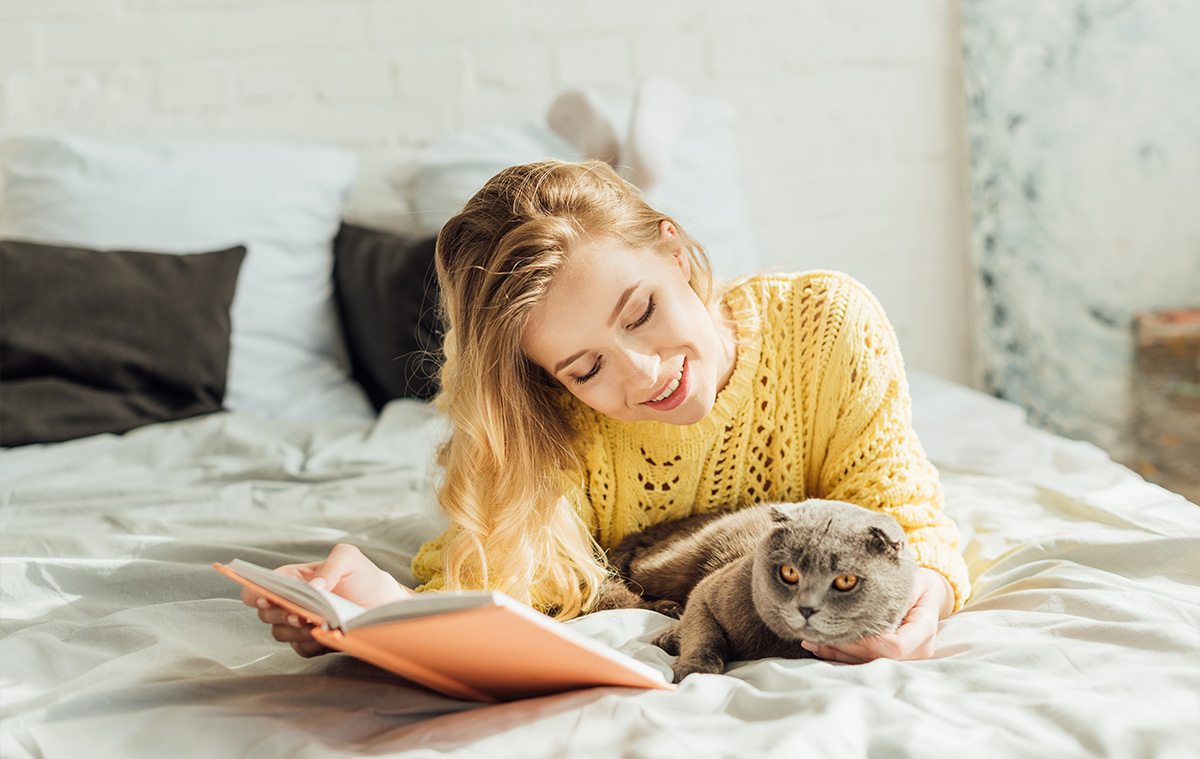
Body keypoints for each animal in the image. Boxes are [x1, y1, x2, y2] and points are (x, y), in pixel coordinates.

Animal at [604, 497, 912, 682]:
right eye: (789, 572)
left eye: (845, 581)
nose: (806, 607)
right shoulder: (705, 593)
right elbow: (705, 635)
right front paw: (695, 669)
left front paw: (672, 638)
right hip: (670, 564)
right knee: (634, 567)